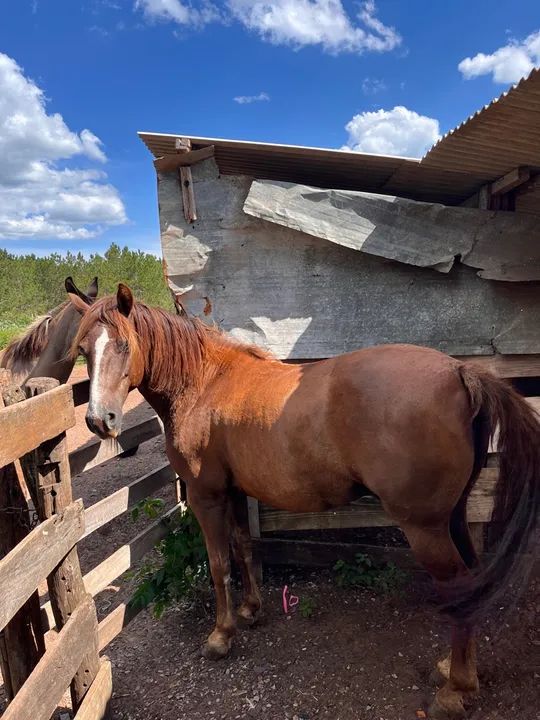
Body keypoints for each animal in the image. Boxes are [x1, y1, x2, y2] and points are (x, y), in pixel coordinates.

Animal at [67, 283, 539, 720]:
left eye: (124, 344)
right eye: (83, 350)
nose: (99, 420)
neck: (205, 384)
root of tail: (460, 371)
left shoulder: (207, 496)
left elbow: (219, 565)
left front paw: (221, 634)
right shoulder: (235, 492)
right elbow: (243, 548)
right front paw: (251, 609)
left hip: (424, 527)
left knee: (458, 585)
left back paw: (454, 690)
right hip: (452, 516)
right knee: (471, 582)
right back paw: (456, 670)